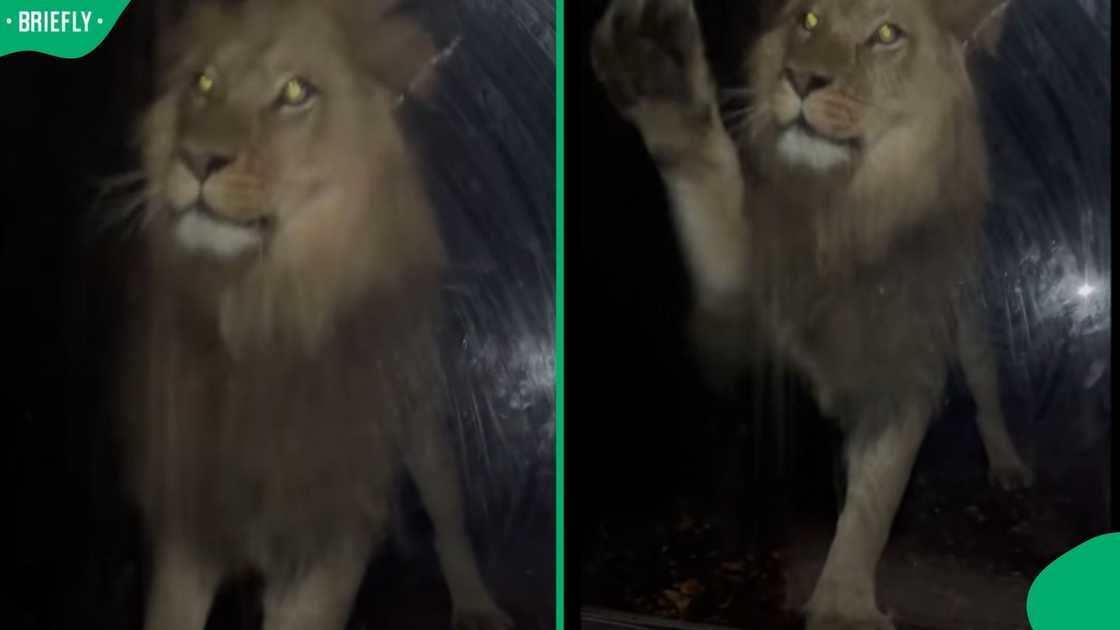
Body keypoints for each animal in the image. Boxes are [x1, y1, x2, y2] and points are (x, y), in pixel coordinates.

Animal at [115, 0, 513, 628]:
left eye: (296, 92)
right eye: (203, 83)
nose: (196, 158)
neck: (260, 305)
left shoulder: (331, 523)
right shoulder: (192, 508)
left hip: (419, 419)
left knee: (447, 508)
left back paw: (477, 605)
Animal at [592, 0, 1032, 628]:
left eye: (887, 34)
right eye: (810, 19)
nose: (800, 78)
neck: (840, 211)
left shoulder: (902, 366)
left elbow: (874, 500)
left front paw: (843, 603)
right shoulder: (742, 336)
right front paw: (660, 69)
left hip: (967, 323)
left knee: (986, 384)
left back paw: (1008, 465)